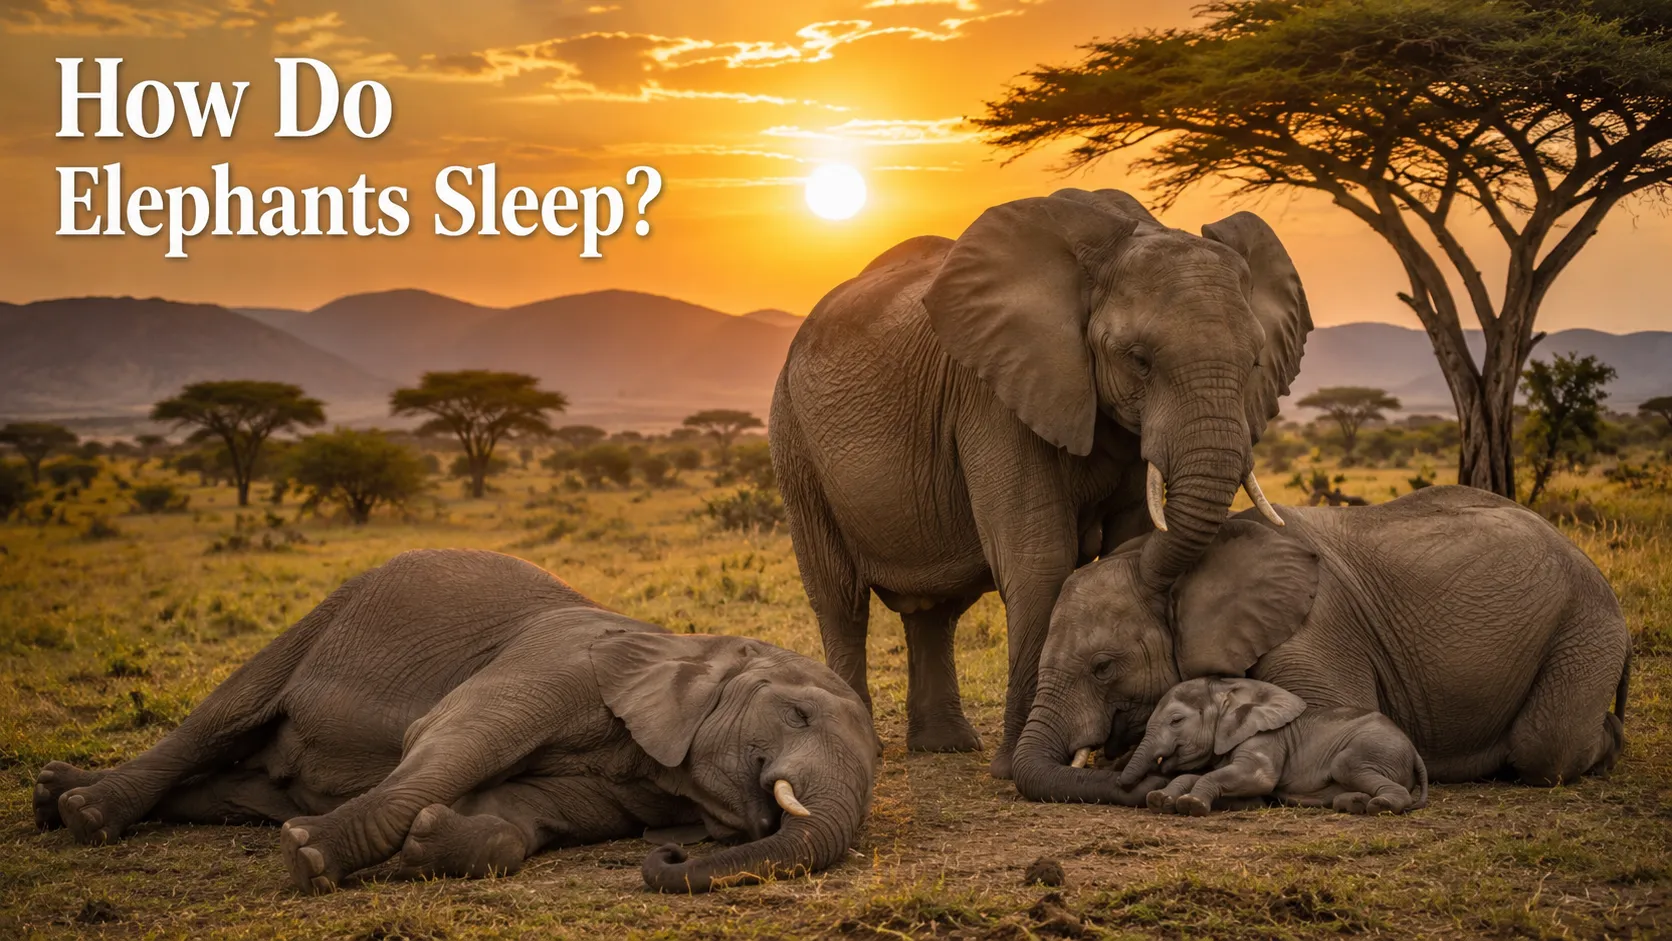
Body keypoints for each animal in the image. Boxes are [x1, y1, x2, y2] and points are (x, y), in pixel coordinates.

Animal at [32, 549, 877, 894]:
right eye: (797, 711)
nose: (667, 854)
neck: (683, 644)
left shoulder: (634, 780)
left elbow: (527, 813)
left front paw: (428, 844)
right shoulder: (551, 663)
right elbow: (452, 747)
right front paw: (310, 859)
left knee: (228, 787)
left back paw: (51, 792)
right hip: (323, 614)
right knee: (219, 719)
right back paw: (83, 814)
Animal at [770, 188, 1311, 777]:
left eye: (1255, 361)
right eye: (1139, 360)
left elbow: (1129, 544)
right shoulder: (995, 395)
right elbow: (1039, 559)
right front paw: (1016, 770)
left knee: (935, 612)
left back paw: (946, 746)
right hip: (794, 441)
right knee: (840, 598)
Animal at [1121, 677, 1428, 816]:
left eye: (1176, 721)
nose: (1123, 785)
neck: (1230, 690)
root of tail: (1415, 753)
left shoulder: (1267, 740)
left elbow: (1258, 778)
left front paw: (1191, 805)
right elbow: (1196, 774)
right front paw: (1159, 800)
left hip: (1376, 749)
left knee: (1346, 765)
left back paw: (1380, 805)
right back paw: (1355, 803)